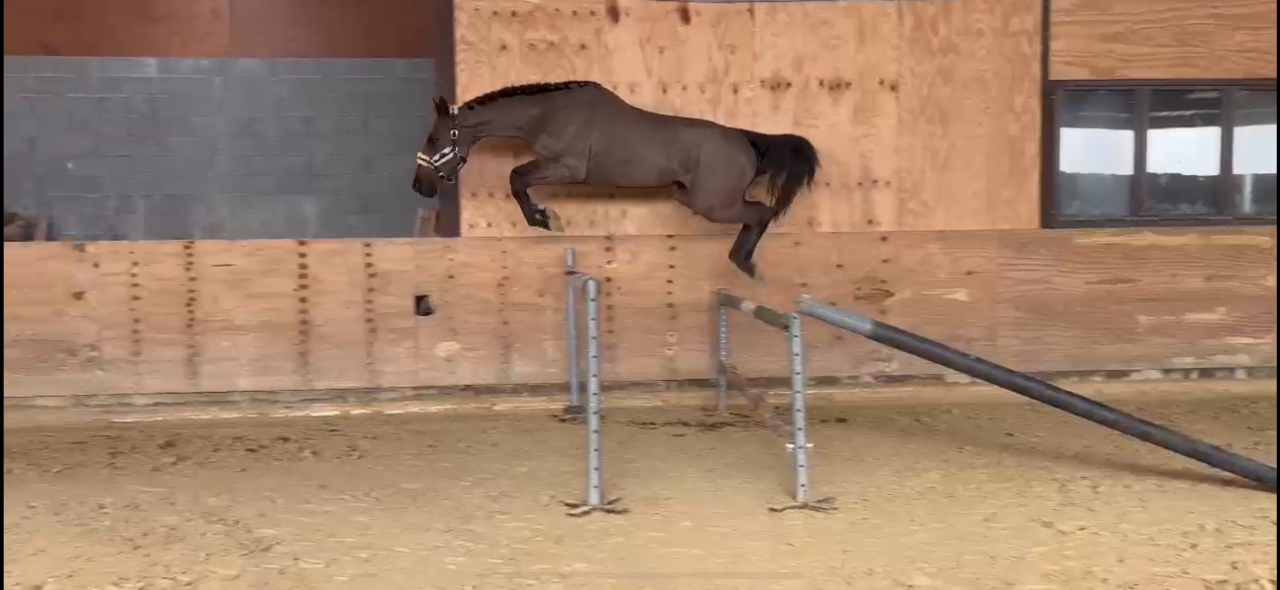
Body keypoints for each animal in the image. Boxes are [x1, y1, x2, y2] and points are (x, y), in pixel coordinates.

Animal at [411, 81, 819, 279]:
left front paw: (544, 219)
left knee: (762, 213)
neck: (547, 113)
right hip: (690, 198)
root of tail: (748, 140)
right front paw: (544, 217)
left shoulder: (566, 168)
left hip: (714, 204)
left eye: (433, 138)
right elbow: (518, 180)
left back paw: (745, 263)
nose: (419, 185)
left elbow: (516, 179)